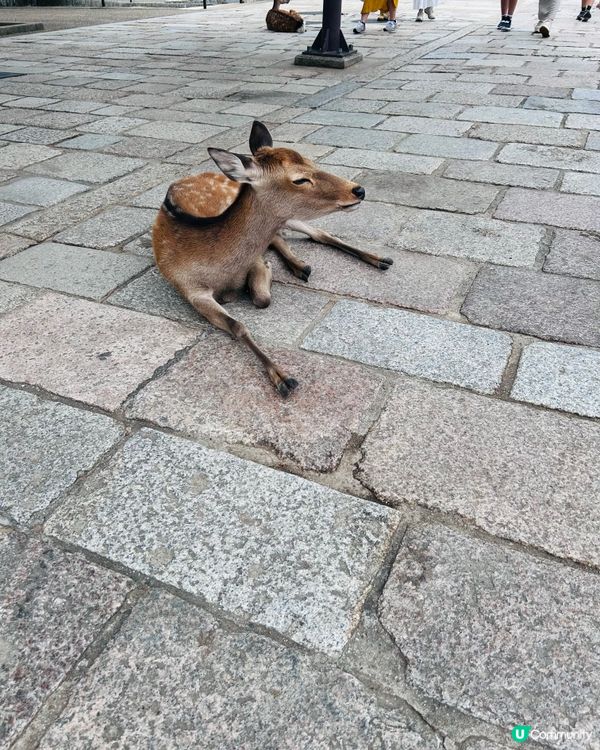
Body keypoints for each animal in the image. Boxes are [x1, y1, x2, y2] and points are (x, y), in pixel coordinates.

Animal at [152, 120, 393, 398]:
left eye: (312, 162)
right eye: (299, 179)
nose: (359, 190)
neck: (218, 268)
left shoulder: (252, 259)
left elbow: (261, 298)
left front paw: (267, 273)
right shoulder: (190, 291)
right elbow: (238, 325)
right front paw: (282, 378)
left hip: (290, 217)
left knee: (317, 233)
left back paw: (378, 260)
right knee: (281, 236)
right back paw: (300, 266)